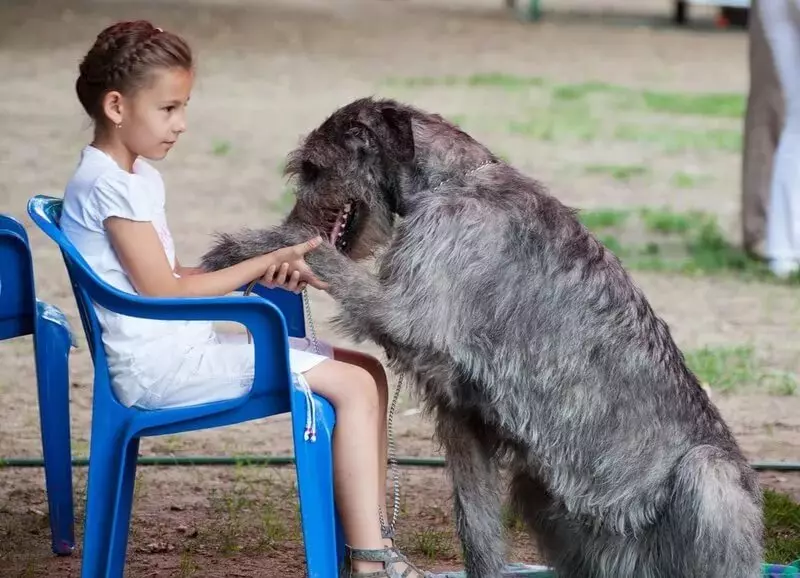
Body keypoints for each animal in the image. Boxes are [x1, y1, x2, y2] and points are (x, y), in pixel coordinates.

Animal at [200, 97, 764, 572]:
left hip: (712, 479)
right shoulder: (464, 419)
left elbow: (320, 255)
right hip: (543, 496)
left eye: (314, 168)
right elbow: (477, 528)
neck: (451, 180)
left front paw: (253, 245)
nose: (294, 212)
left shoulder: (409, 309)